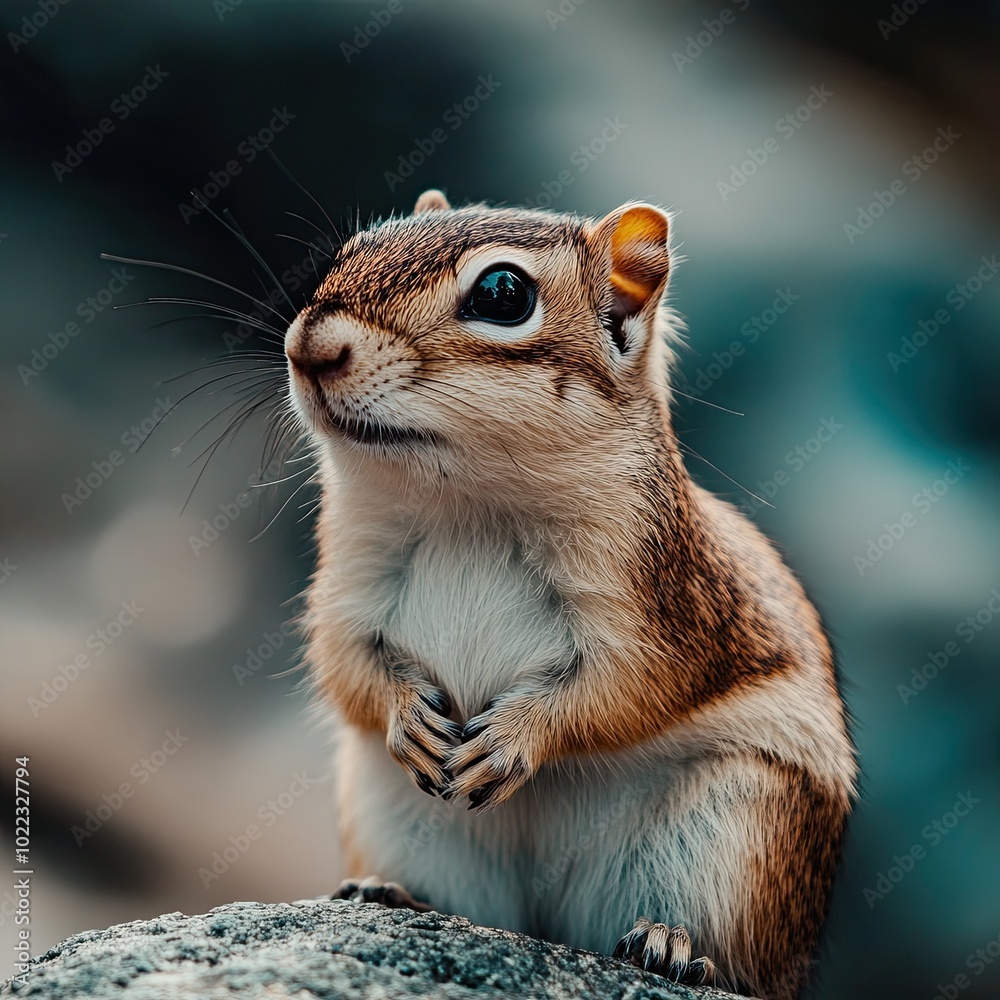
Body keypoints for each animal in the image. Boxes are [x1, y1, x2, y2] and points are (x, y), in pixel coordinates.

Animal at [283, 188, 857, 1000]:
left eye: (503, 294)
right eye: (349, 251)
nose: (309, 348)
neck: (469, 509)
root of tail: (545, 925)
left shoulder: (655, 604)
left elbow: (619, 693)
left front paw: (516, 736)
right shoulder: (348, 589)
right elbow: (346, 666)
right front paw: (406, 719)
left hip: (742, 832)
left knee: (735, 964)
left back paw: (670, 946)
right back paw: (388, 892)